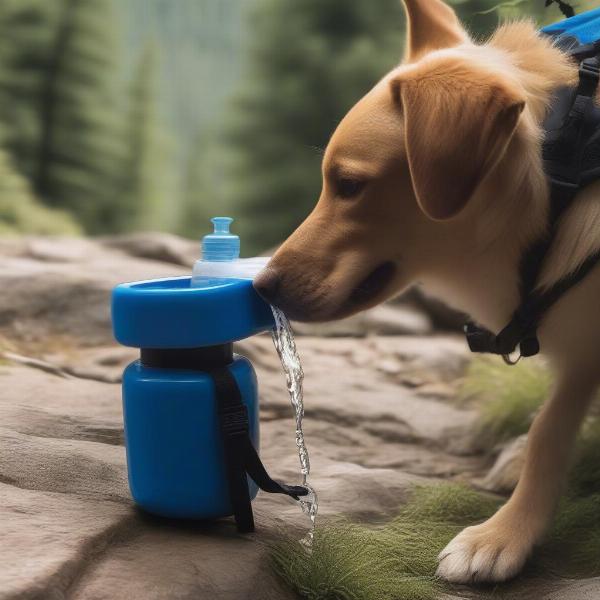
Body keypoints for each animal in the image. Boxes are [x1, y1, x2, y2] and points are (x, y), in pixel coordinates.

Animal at [252, 0, 600, 584]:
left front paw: (502, 535)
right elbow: (549, 429)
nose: (260, 286)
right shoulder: (577, 346)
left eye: (349, 184)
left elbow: (549, 430)